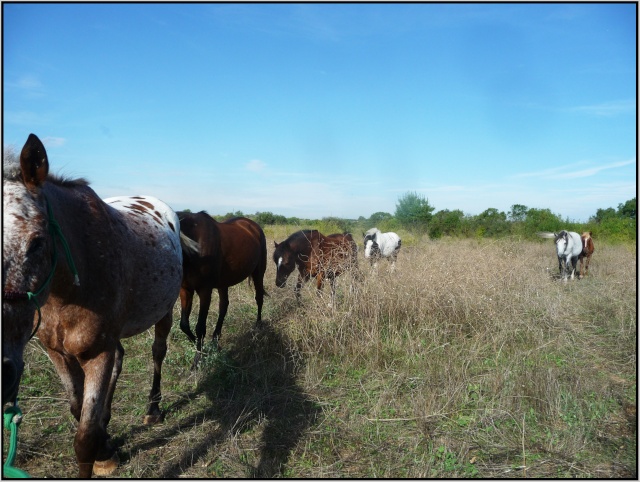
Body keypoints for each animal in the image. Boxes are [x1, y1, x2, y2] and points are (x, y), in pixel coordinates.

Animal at [1, 133, 198, 478]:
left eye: (37, 242)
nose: (2, 372)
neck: (68, 290)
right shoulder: (58, 353)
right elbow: (78, 409)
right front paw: (106, 445)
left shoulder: (97, 353)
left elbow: (85, 439)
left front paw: (102, 453)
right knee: (120, 359)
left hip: (163, 314)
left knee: (158, 353)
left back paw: (153, 408)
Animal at [176, 209, 266, 360]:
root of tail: (252, 225)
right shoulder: (185, 289)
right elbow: (184, 325)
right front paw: (199, 345)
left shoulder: (205, 291)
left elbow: (200, 327)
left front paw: (198, 358)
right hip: (223, 282)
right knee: (223, 306)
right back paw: (215, 338)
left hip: (258, 273)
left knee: (259, 298)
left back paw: (258, 326)